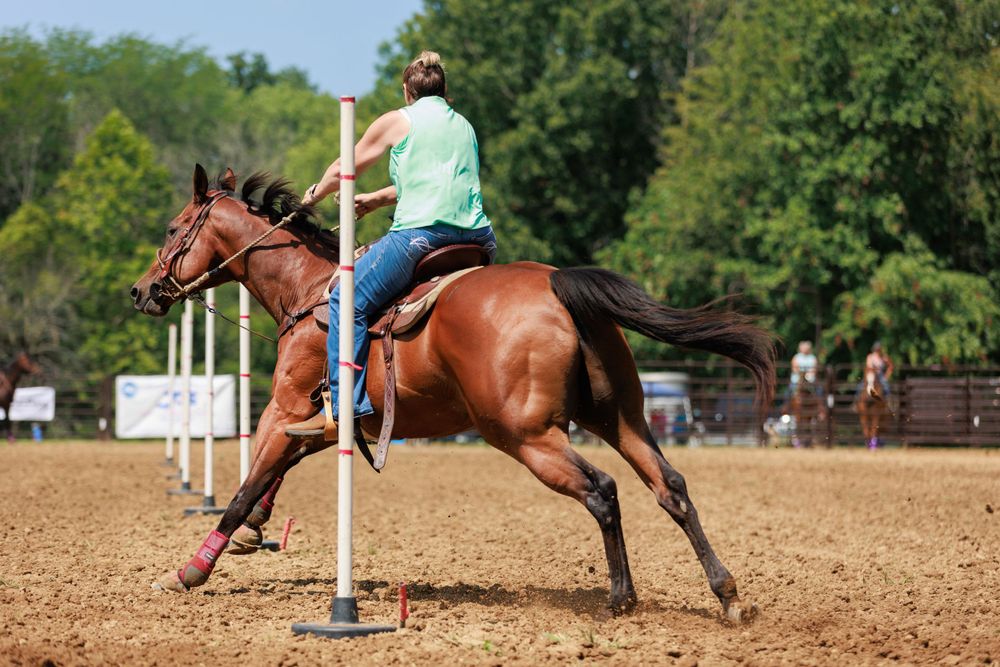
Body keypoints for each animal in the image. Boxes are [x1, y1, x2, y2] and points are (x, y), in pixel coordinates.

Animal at [130, 165, 777, 622]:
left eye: (172, 230)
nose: (141, 291)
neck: (309, 291)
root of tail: (557, 284)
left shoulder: (285, 408)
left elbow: (245, 486)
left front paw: (190, 571)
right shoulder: (328, 423)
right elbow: (272, 472)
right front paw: (253, 531)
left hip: (526, 435)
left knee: (603, 490)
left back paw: (620, 598)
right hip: (620, 418)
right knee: (670, 487)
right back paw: (726, 595)